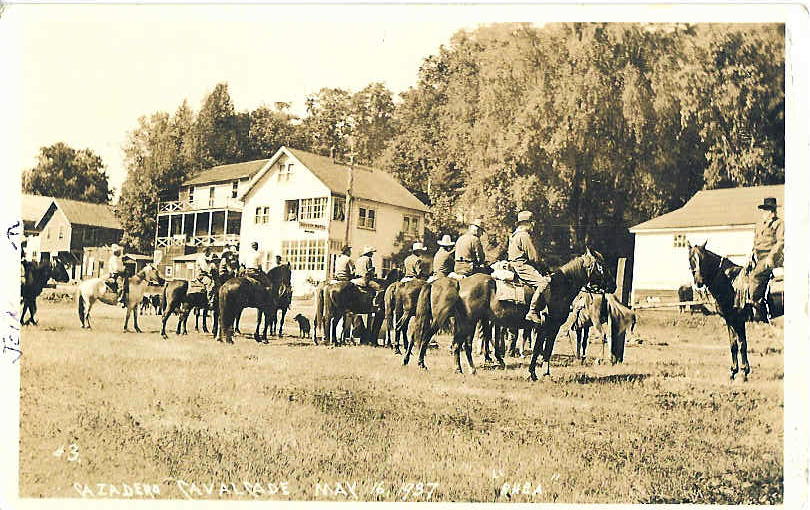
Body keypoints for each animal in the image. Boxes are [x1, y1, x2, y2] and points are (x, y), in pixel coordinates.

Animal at [688, 241, 784, 380]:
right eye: (691, 258)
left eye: (703, 258)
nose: (699, 281)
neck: (730, 282)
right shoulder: (730, 320)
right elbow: (733, 345)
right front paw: (734, 371)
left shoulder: (739, 321)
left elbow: (742, 344)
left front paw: (744, 372)